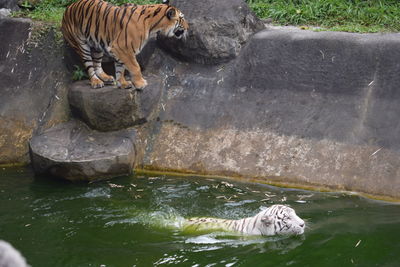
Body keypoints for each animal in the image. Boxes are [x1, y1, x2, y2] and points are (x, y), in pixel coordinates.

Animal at [61, 0, 189, 90]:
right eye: (182, 18)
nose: (188, 27)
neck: (153, 25)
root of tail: (68, 8)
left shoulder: (118, 50)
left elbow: (120, 68)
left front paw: (122, 83)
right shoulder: (123, 49)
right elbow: (135, 67)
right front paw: (140, 83)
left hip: (97, 46)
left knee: (97, 64)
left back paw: (106, 77)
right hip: (82, 45)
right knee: (89, 65)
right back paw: (96, 82)